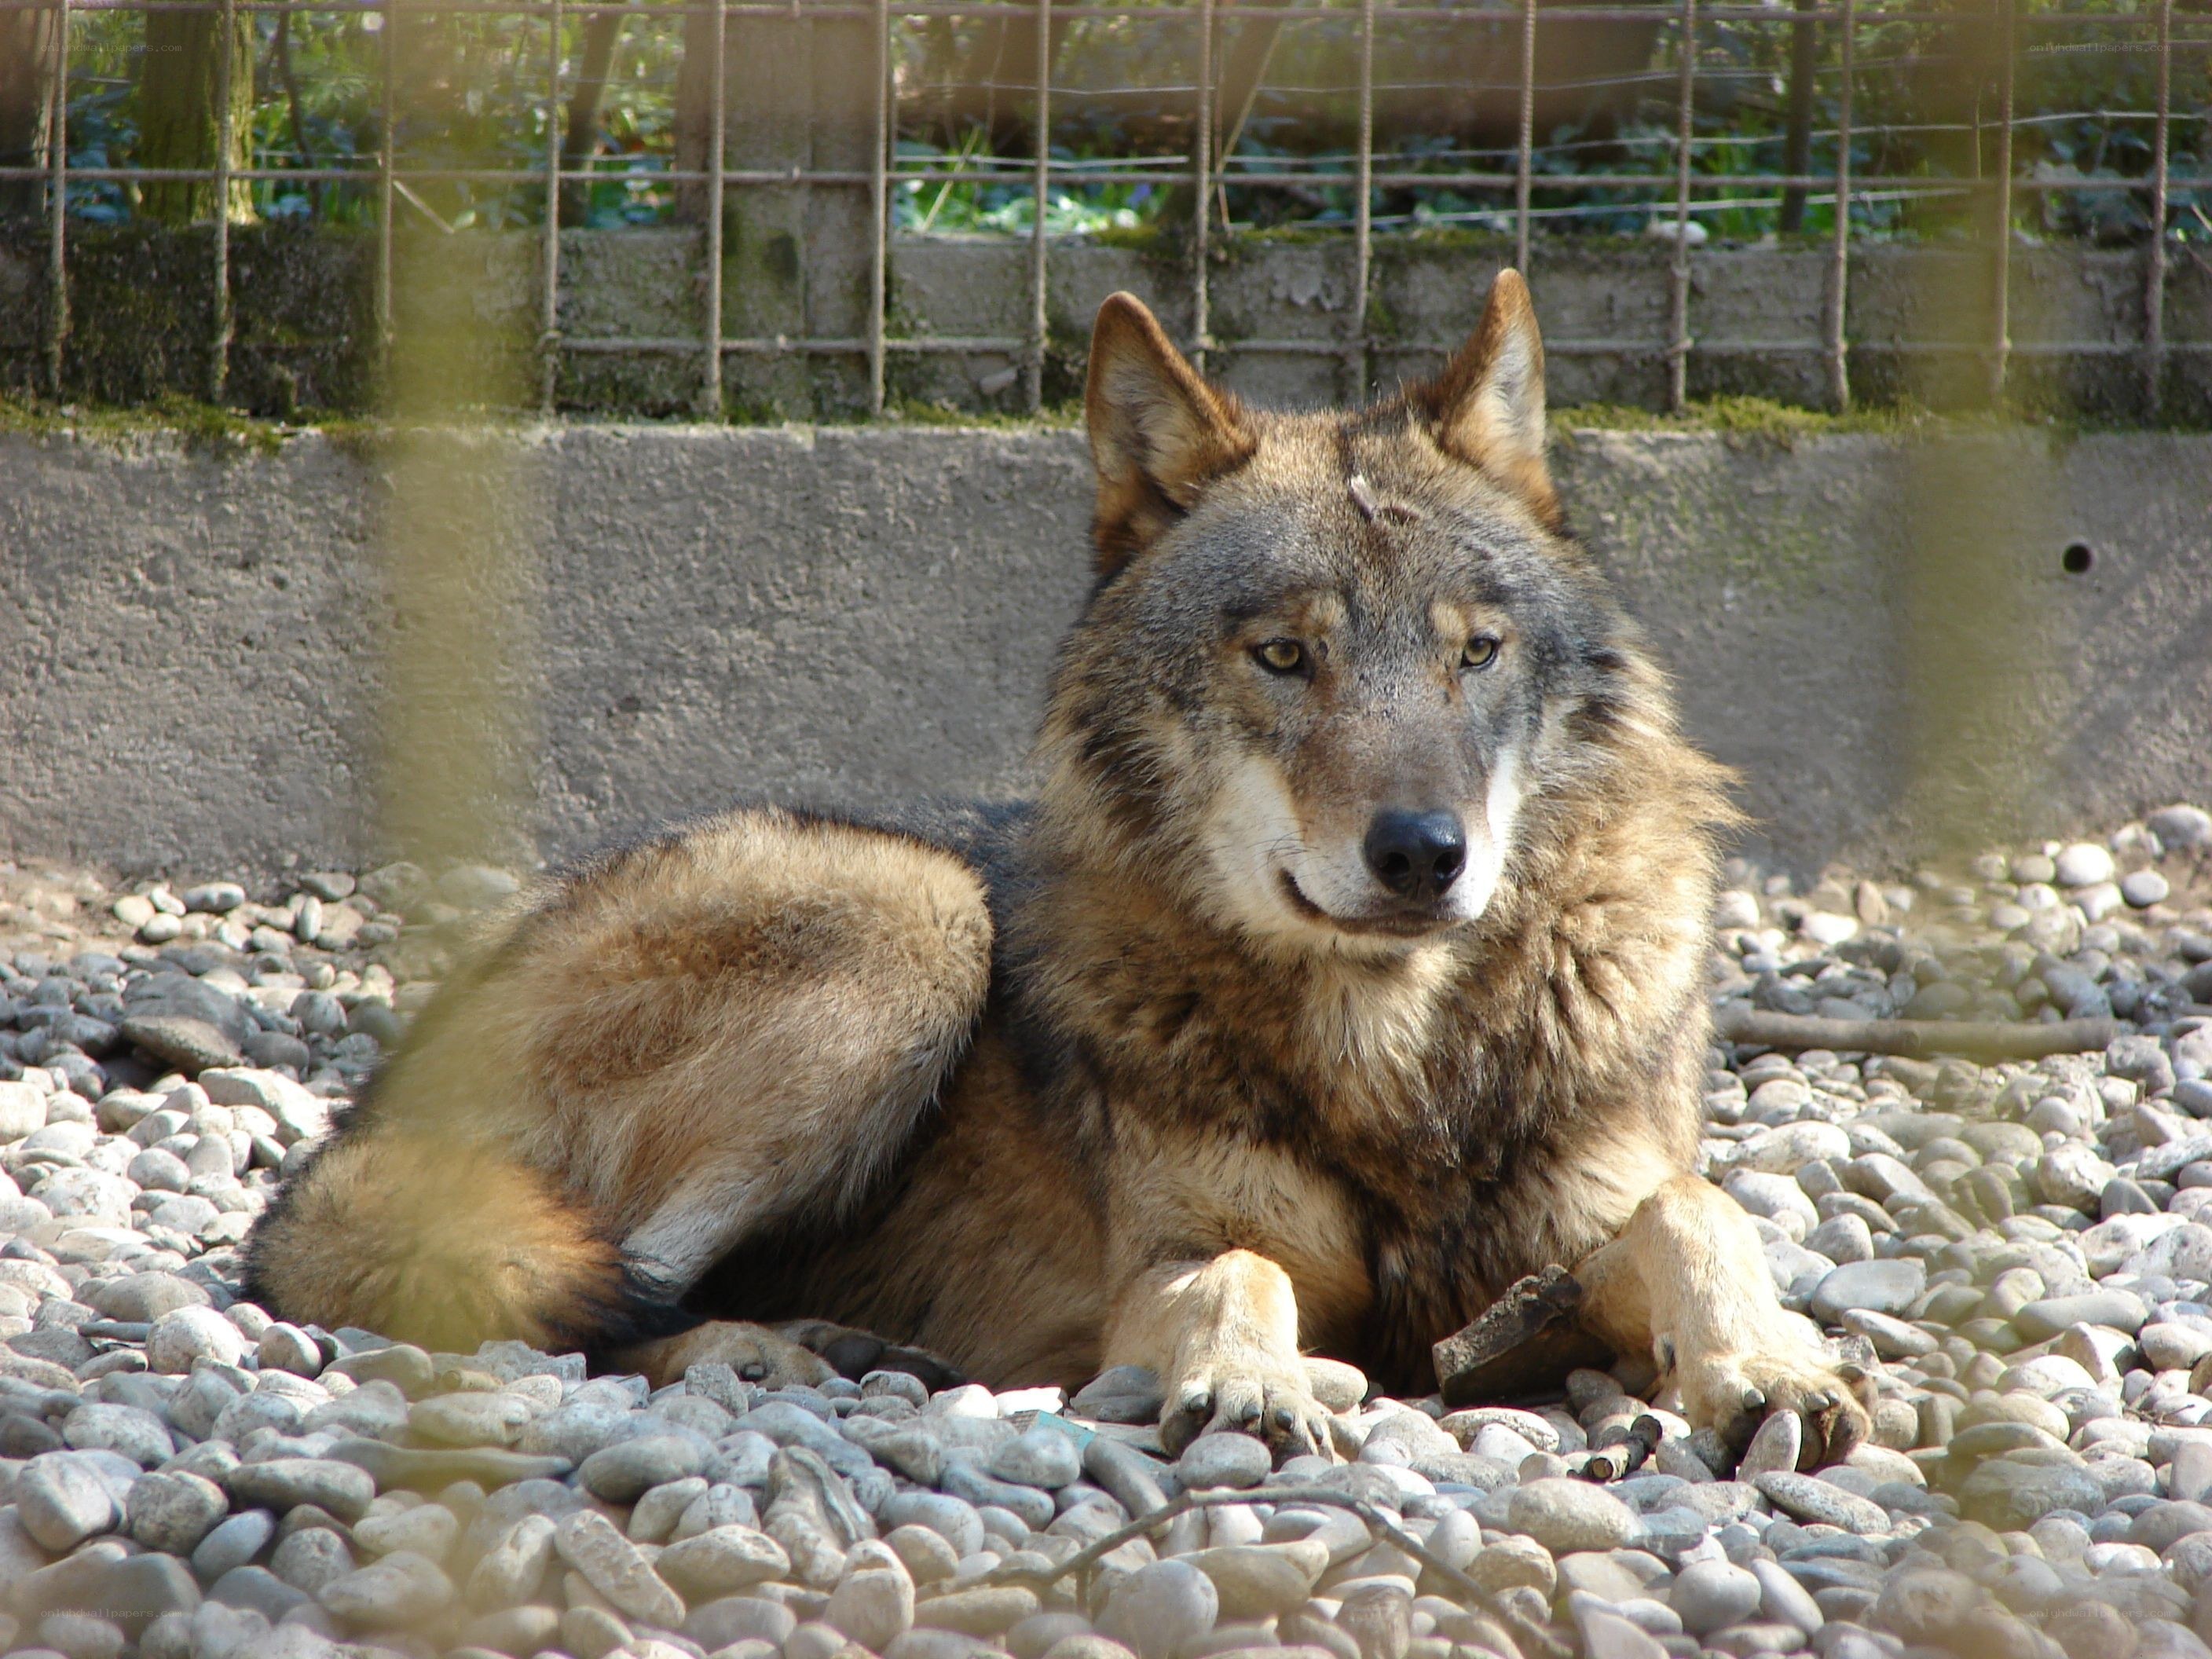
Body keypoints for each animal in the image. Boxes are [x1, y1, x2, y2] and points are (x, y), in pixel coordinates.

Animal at [245, 271, 1871, 1465]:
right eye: (1284, 656)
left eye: (1475, 653)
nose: (1423, 854)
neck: (1398, 1061)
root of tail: (359, 1122)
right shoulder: (1162, 1262)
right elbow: (1237, 1274)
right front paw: (1252, 1381)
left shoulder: (1560, 1253)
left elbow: (1699, 1212)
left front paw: (1767, 1362)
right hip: (912, 911)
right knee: (598, 1294)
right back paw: (774, 1351)